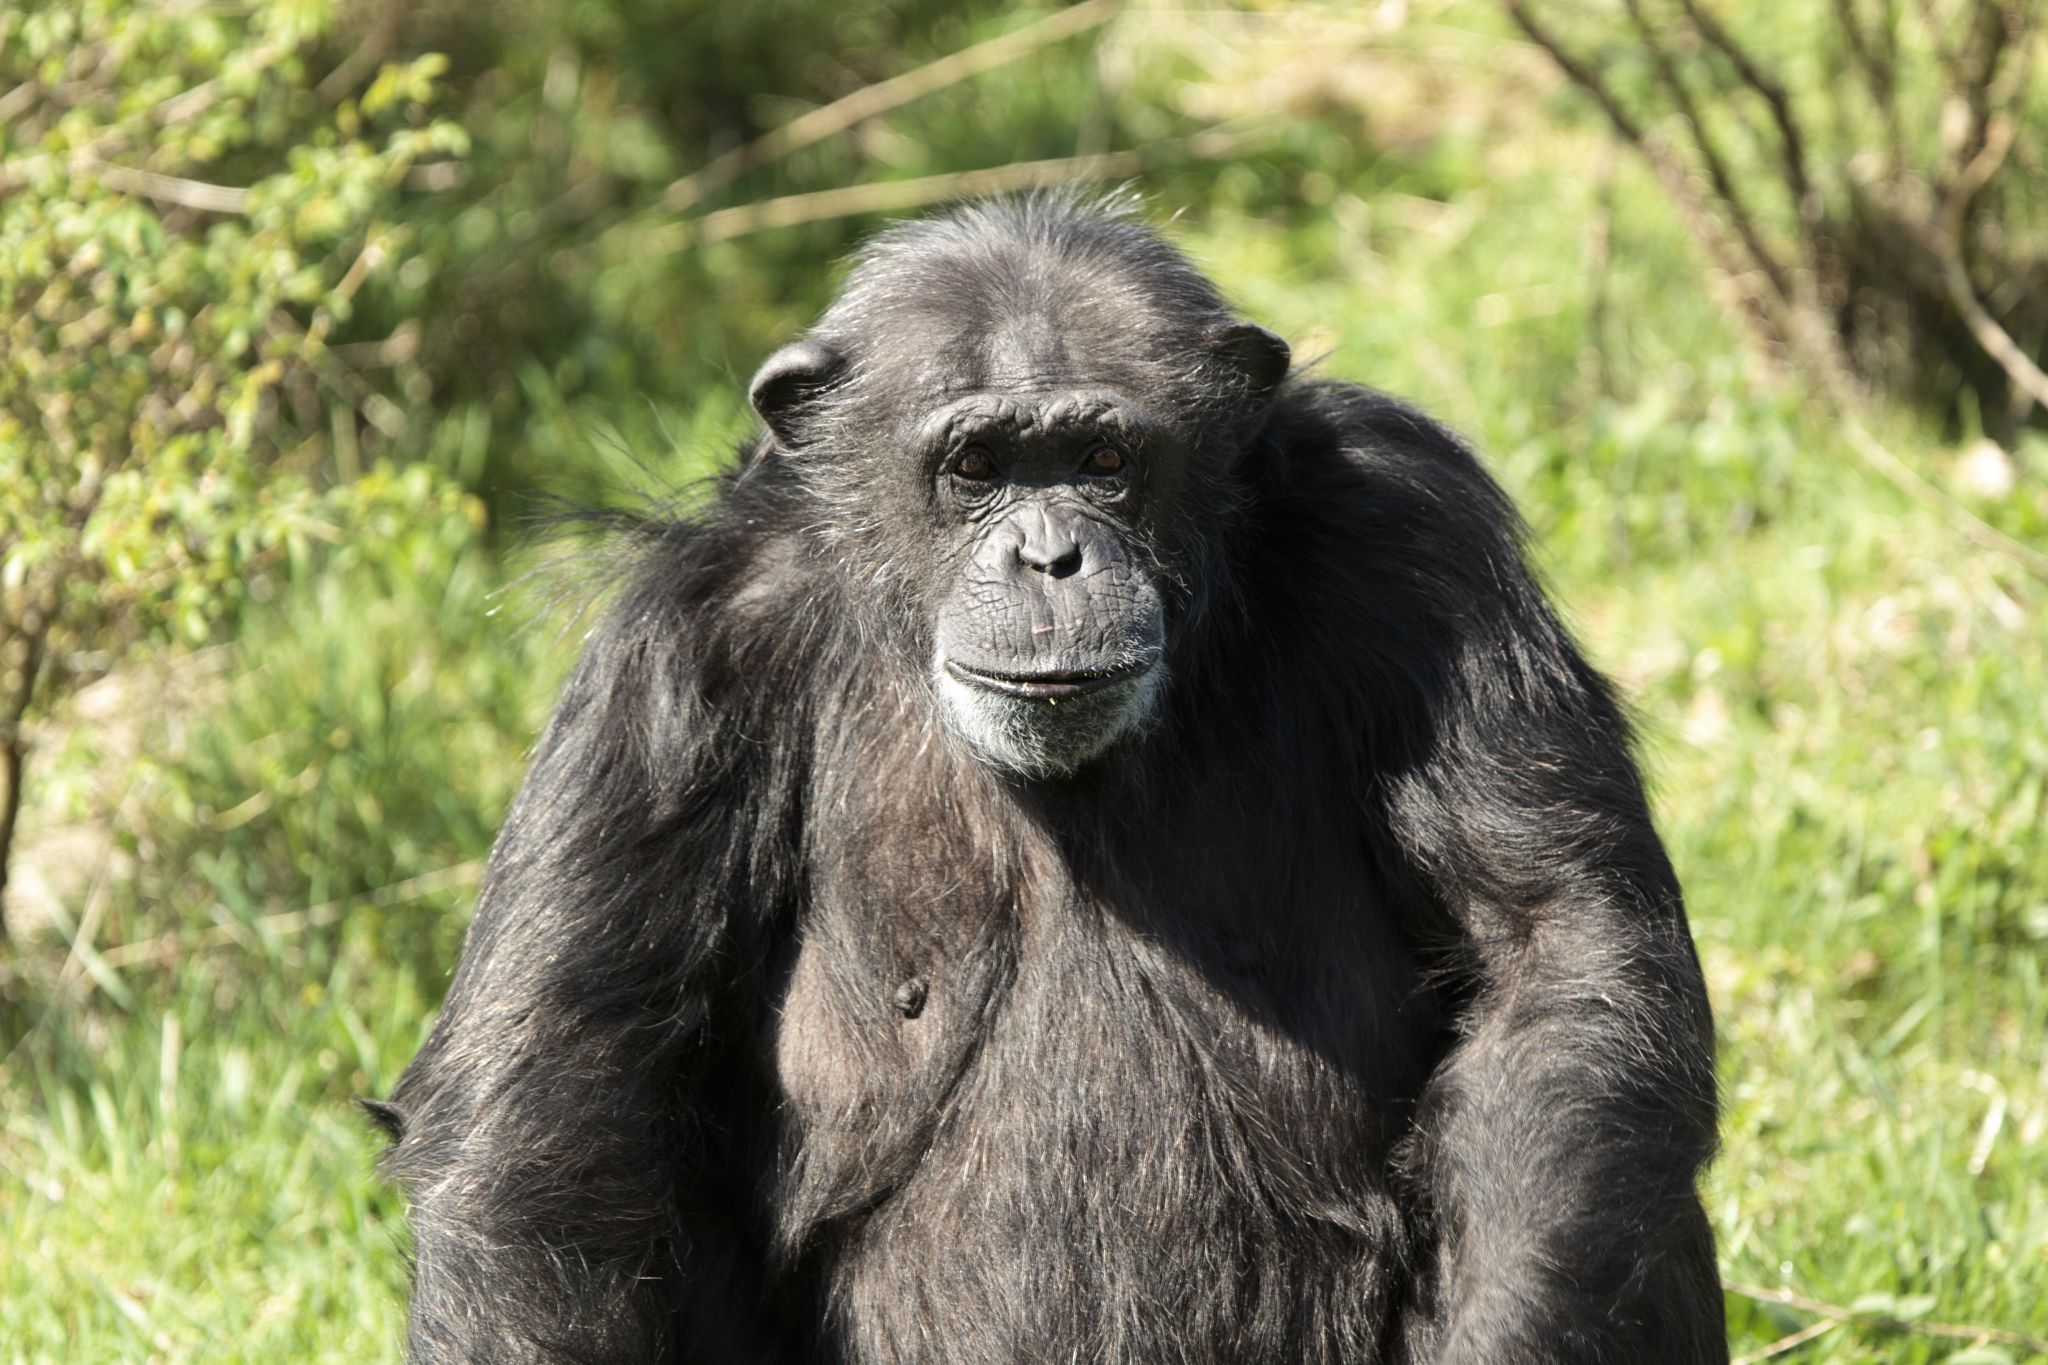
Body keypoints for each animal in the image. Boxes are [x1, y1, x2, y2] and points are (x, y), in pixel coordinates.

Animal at [372, 194, 1728, 1365]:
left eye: (1104, 457)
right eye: (976, 466)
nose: (1050, 555)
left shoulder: (1416, 538)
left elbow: (1550, 945)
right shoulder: (673, 658)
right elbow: (558, 1091)